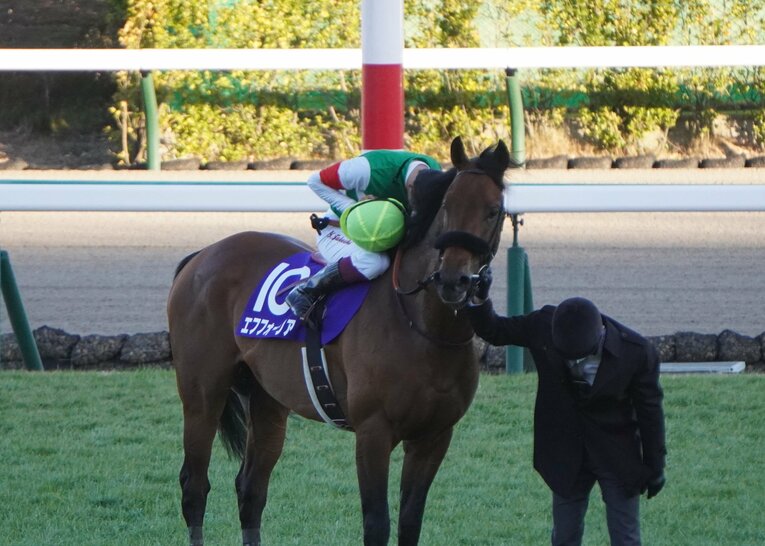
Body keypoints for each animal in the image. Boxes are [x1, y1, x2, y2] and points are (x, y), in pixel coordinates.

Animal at [167, 136, 511, 546]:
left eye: (493, 211)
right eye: (447, 207)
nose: (452, 280)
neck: (426, 329)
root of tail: (200, 255)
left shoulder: (434, 436)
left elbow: (410, 521)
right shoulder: (373, 431)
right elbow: (377, 524)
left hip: (267, 400)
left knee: (250, 488)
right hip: (202, 394)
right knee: (194, 486)